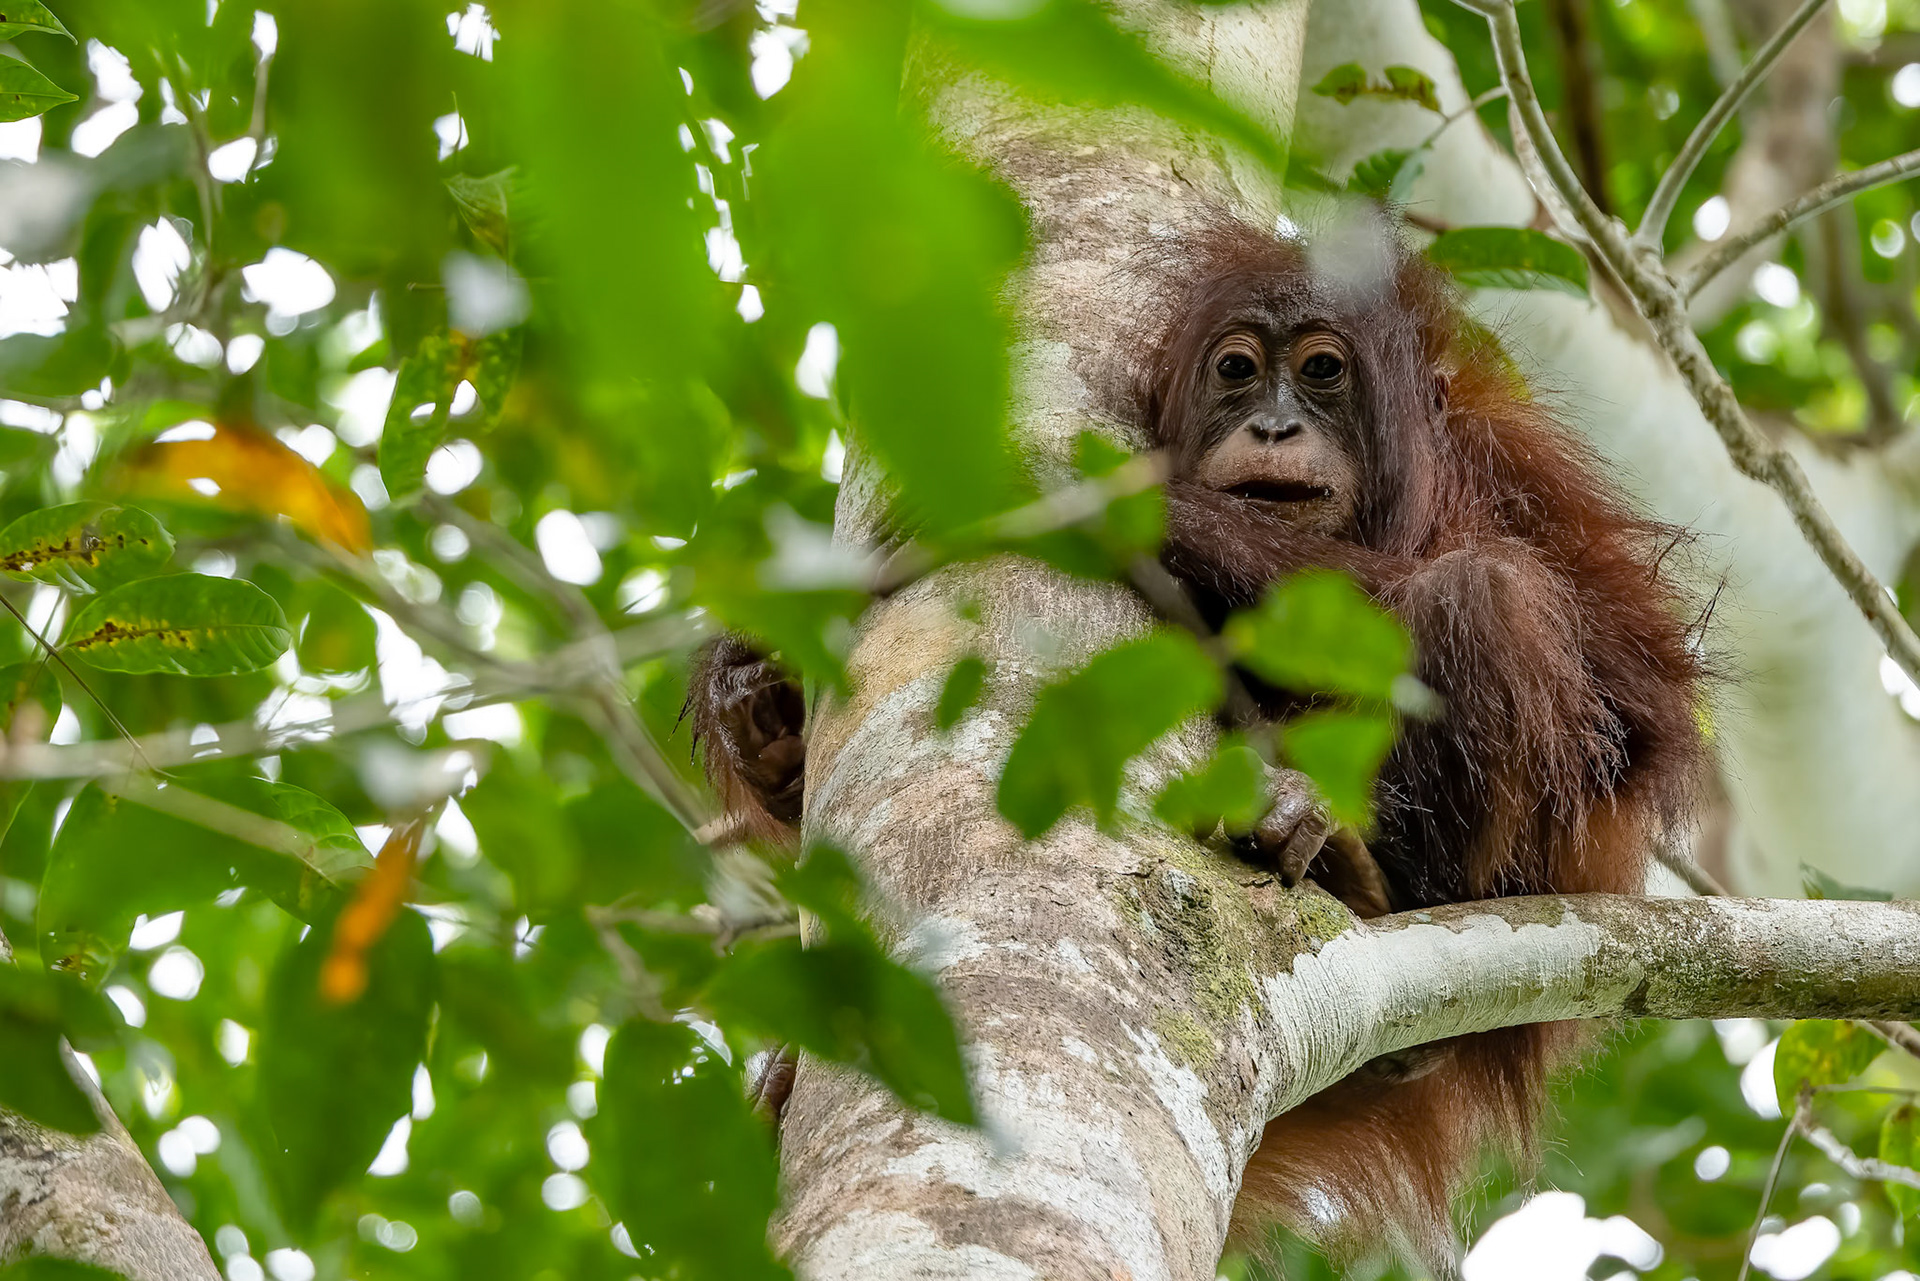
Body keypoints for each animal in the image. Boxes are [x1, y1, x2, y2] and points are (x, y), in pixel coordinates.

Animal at [685, 216, 1705, 1273]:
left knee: (1487, 591)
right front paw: (752, 695)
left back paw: (1377, 879)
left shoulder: (1514, 466)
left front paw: (1090, 502)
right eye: (1239, 370)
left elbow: (1631, 685)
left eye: (1323, 370)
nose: (1275, 426)